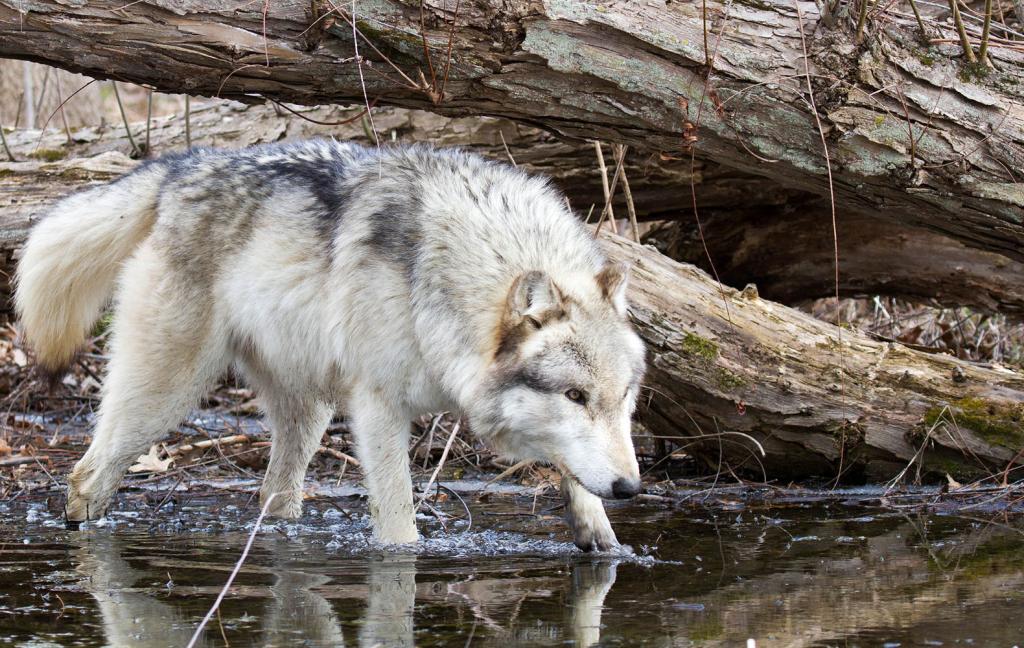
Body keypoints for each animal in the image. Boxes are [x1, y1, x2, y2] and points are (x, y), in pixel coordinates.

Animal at [16, 139, 643, 548]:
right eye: (575, 396)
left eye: (621, 399)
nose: (631, 487)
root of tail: (177, 169)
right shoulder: (378, 408)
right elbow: (399, 529)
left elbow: (577, 473)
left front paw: (602, 536)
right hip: (166, 397)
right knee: (87, 477)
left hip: (309, 413)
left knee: (274, 495)